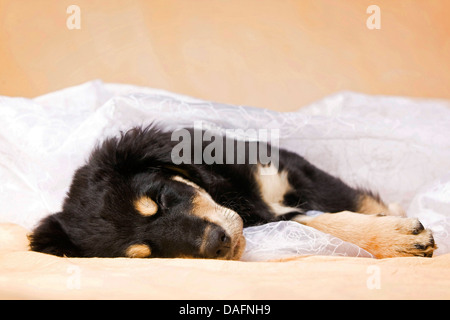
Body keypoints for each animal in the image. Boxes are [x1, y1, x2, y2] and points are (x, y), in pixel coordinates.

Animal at [29, 125, 436, 260]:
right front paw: (396, 237)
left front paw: (398, 227)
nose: (217, 245)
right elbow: (319, 224)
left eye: (160, 199)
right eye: (147, 254)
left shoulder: (291, 170)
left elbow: (353, 200)